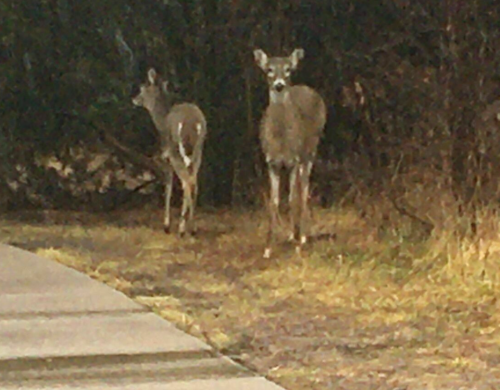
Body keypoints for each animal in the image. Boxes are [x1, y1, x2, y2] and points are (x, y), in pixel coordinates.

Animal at [133, 68, 207, 236]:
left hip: (176, 150)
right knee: (194, 182)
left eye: (142, 88)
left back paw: (183, 228)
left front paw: (166, 225)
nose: (134, 99)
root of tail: (192, 122)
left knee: (186, 182)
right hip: (198, 150)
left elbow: (168, 186)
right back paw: (191, 226)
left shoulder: (166, 156)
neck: (161, 120)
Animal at [254, 47, 328, 258]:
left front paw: (297, 244)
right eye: (269, 69)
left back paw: (301, 236)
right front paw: (268, 248)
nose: (279, 85)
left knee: (304, 188)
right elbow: (274, 202)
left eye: (288, 69)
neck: (281, 141)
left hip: (311, 149)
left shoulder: (294, 160)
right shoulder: (271, 163)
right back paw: (291, 234)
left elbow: (293, 200)